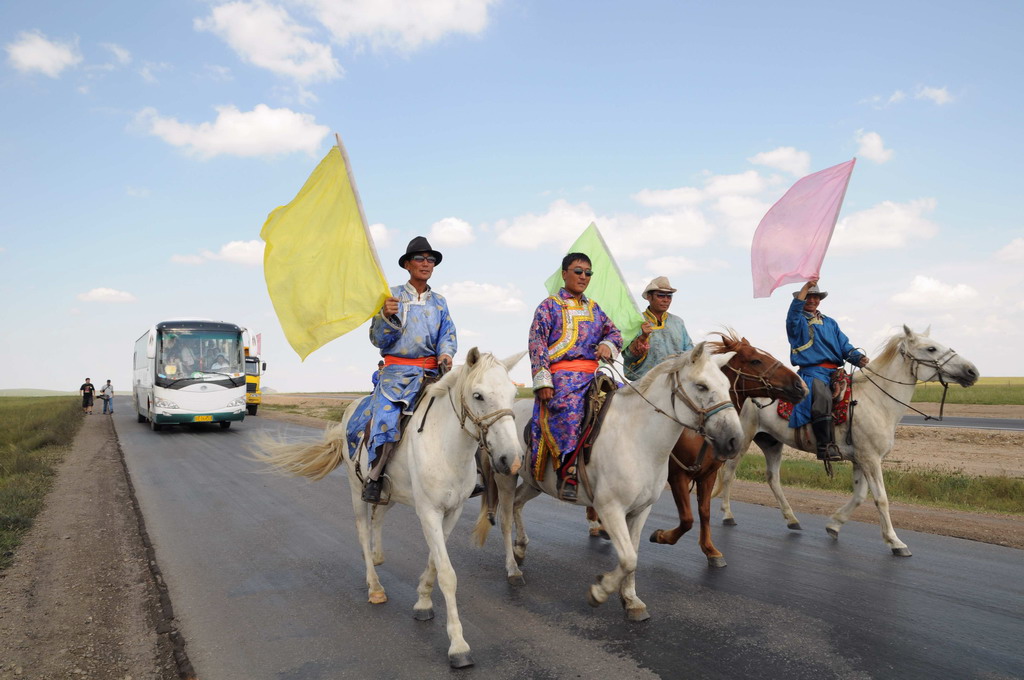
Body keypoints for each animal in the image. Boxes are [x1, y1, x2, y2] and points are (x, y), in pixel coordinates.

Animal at [260, 348, 524, 667]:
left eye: (513, 394)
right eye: (478, 395)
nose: (511, 460)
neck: (445, 445)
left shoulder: (452, 512)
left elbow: (434, 562)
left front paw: (423, 601)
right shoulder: (429, 513)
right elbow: (447, 574)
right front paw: (458, 646)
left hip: (391, 492)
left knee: (378, 517)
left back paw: (378, 556)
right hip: (356, 489)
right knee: (363, 530)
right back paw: (374, 586)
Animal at [471, 346, 745, 622]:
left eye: (726, 385)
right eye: (701, 386)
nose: (734, 441)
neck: (638, 439)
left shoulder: (641, 510)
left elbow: (633, 554)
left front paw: (631, 600)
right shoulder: (610, 509)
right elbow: (628, 558)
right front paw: (600, 591)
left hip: (533, 483)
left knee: (518, 504)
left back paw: (521, 548)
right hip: (506, 476)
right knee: (506, 518)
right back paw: (513, 569)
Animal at [593, 333, 806, 569]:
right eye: (756, 360)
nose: (799, 386)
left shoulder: (708, 474)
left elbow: (704, 512)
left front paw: (710, 550)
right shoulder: (678, 475)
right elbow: (687, 519)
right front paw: (662, 536)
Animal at [712, 327, 974, 557]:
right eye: (931, 348)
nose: (971, 371)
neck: (878, 401)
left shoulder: (862, 459)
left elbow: (859, 496)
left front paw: (834, 525)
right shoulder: (870, 459)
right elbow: (881, 499)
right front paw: (895, 542)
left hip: (772, 443)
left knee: (773, 478)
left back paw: (792, 519)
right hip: (743, 440)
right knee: (729, 473)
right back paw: (727, 515)